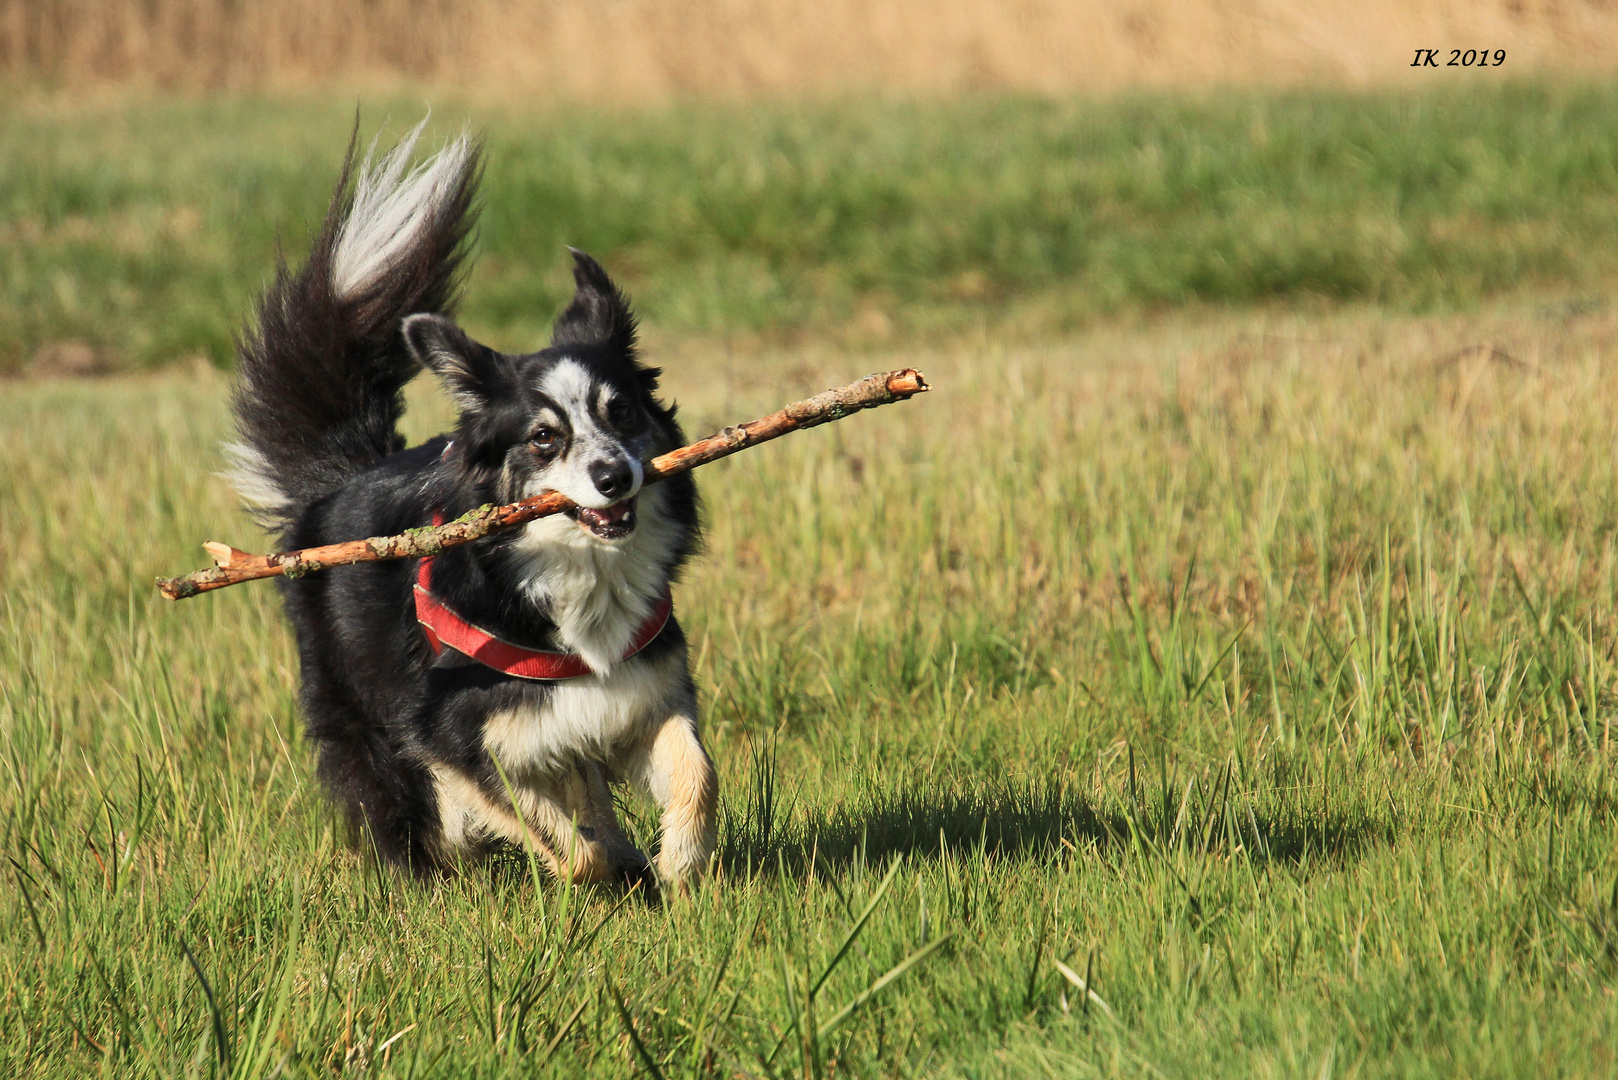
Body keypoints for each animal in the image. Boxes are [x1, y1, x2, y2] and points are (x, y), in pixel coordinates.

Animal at [226, 122, 715, 893]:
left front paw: (679, 862)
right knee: (408, 808)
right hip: (359, 710)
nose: (615, 477)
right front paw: (600, 867)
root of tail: (343, 474)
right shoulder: (444, 729)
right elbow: (562, 839)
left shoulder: (641, 692)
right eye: (544, 438)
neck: (571, 575)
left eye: (623, 411)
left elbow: (695, 774)